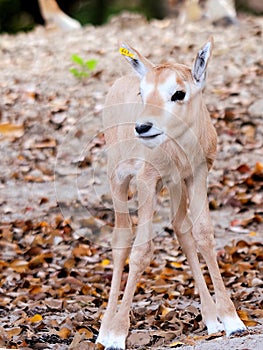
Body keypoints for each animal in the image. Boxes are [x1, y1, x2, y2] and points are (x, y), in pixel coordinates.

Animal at [97, 39, 248, 348]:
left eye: (179, 93)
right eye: (143, 93)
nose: (143, 127)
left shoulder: (197, 174)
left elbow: (203, 234)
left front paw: (232, 321)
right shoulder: (146, 180)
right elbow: (141, 250)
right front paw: (118, 334)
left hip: (175, 185)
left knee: (181, 228)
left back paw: (211, 319)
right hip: (118, 178)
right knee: (121, 238)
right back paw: (104, 330)